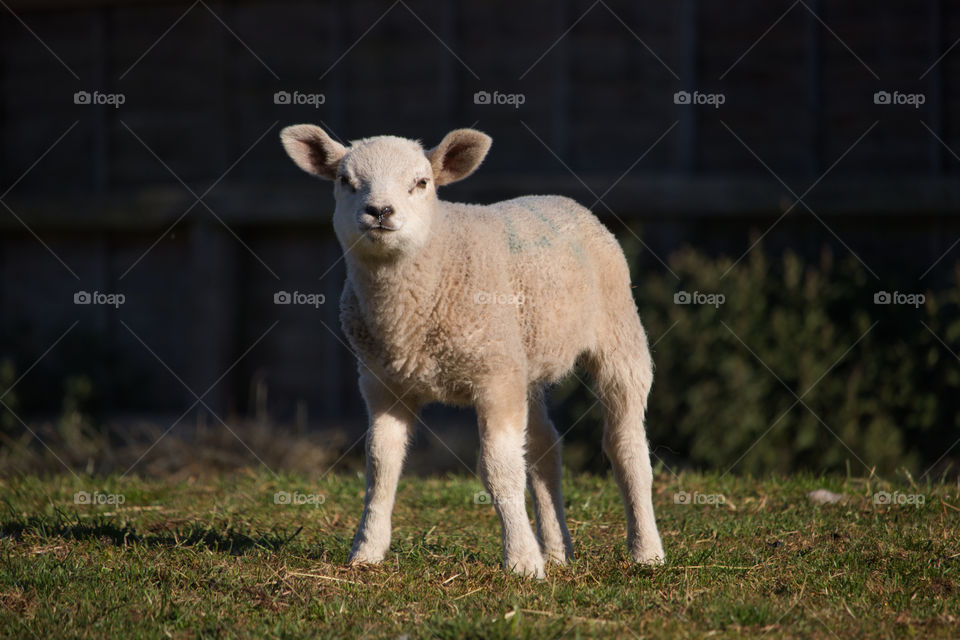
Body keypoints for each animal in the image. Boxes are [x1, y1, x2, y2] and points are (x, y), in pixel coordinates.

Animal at [280, 125, 665, 578]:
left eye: (421, 183)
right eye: (345, 181)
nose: (379, 211)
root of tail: (560, 199)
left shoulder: (493, 378)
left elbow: (498, 470)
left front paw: (522, 562)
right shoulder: (382, 382)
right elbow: (381, 465)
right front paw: (366, 551)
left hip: (616, 331)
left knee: (626, 445)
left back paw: (646, 551)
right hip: (521, 359)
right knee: (543, 449)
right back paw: (557, 552)